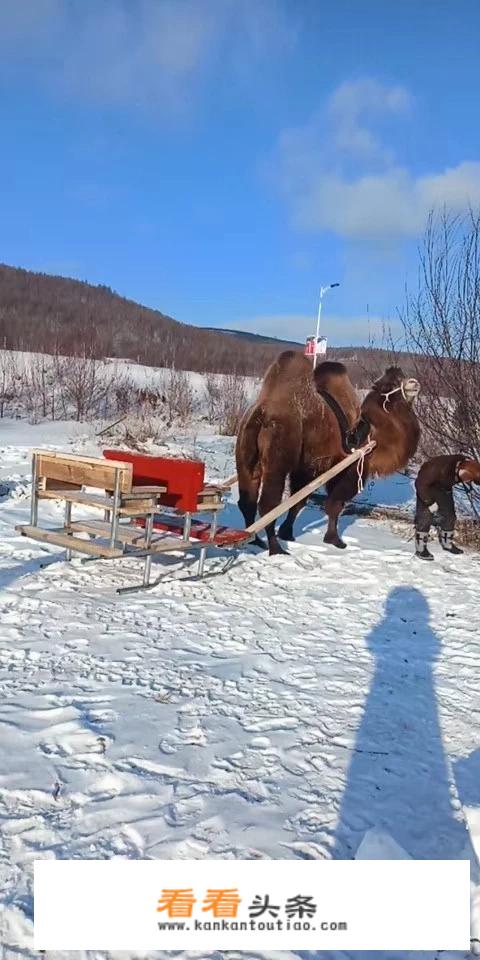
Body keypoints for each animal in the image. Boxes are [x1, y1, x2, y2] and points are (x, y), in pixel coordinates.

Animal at [236, 352, 420, 552]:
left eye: (401, 376)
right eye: (390, 385)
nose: (414, 383)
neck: (371, 432)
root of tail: (262, 412)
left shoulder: (307, 467)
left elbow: (298, 502)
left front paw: (287, 533)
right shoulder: (350, 466)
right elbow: (334, 505)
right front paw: (335, 540)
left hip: (245, 452)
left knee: (247, 500)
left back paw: (253, 540)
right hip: (278, 456)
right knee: (268, 505)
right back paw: (276, 548)